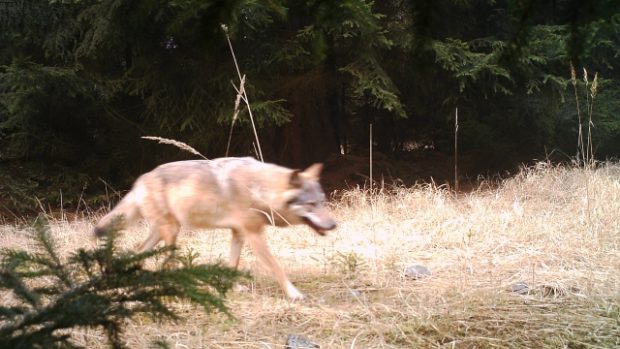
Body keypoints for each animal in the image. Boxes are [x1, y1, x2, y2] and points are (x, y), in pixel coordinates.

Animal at [95, 156, 340, 298]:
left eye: (322, 202)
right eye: (311, 205)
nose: (333, 224)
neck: (259, 189)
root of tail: (140, 180)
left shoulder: (239, 233)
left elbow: (232, 264)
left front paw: (231, 288)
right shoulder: (254, 234)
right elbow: (276, 267)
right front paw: (293, 294)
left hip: (162, 232)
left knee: (138, 251)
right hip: (172, 233)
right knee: (165, 262)